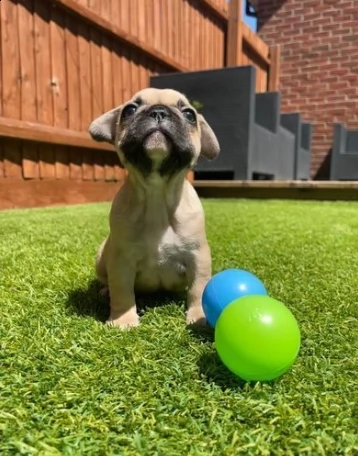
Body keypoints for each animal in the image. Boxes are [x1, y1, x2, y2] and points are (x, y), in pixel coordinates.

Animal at [88, 87, 220, 328]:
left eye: (189, 114)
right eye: (130, 110)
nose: (159, 111)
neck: (157, 192)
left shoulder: (198, 256)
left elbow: (198, 288)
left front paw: (199, 316)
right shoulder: (121, 259)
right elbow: (122, 291)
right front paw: (123, 320)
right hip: (102, 255)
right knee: (107, 281)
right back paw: (105, 291)